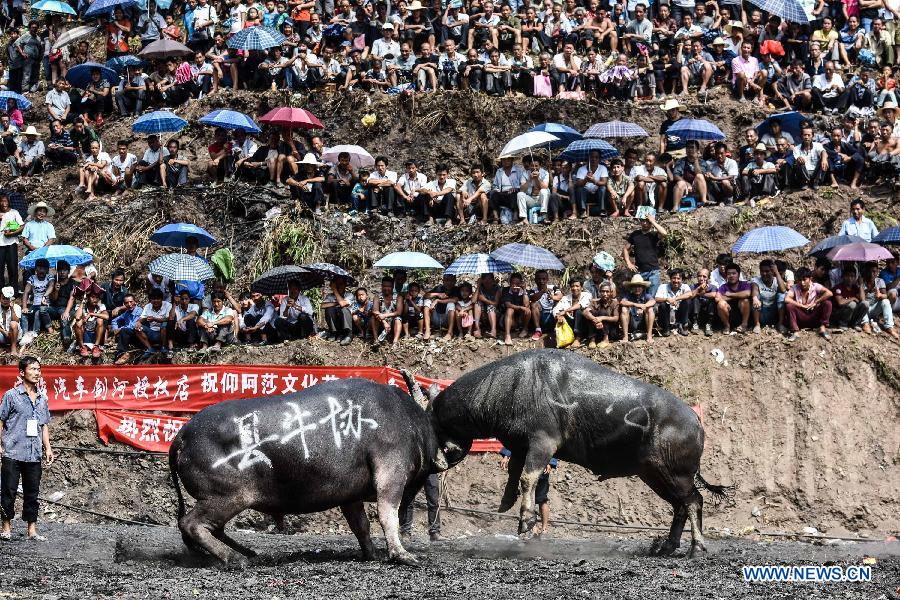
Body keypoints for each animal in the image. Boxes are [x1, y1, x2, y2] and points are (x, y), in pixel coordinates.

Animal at [169, 378, 446, 564]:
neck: (409, 420)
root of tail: (182, 436)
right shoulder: (391, 470)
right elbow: (388, 514)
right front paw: (402, 555)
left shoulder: (350, 497)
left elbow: (361, 525)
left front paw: (372, 554)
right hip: (229, 496)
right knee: (191, 524)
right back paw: (236, 559)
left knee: (212, 528)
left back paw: (249, 552)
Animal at [422, 346, 732, 556]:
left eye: (433, 422)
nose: (434, 461)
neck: (512, 386)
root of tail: (696, 421)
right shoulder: (521, 447)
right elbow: (516, 476)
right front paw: (510, 505)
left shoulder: (543, 443)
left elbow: (527, 478)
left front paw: (526, 521)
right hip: (655, 474)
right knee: (680, 505)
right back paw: (667, 546)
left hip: (675, 474)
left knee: (693, 501)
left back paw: (696, 548)